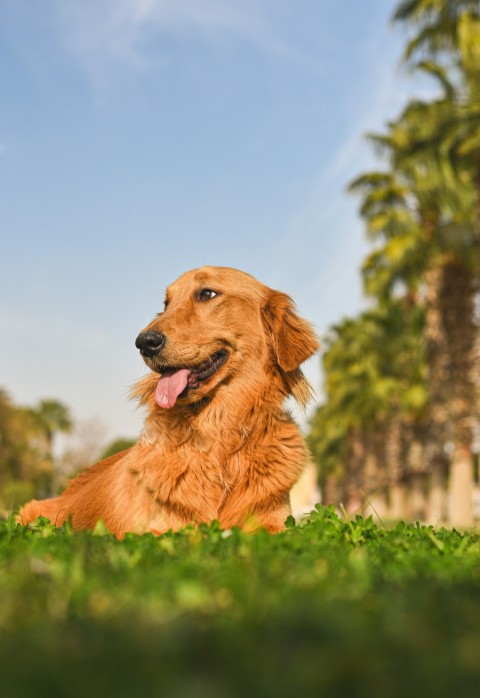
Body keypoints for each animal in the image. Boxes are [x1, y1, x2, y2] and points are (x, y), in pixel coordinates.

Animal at [18, 264, 318, 536]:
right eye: (166, 303)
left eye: (207, 293)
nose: (144, 342)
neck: (219, 436)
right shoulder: (156, 529)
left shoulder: (276, 522)